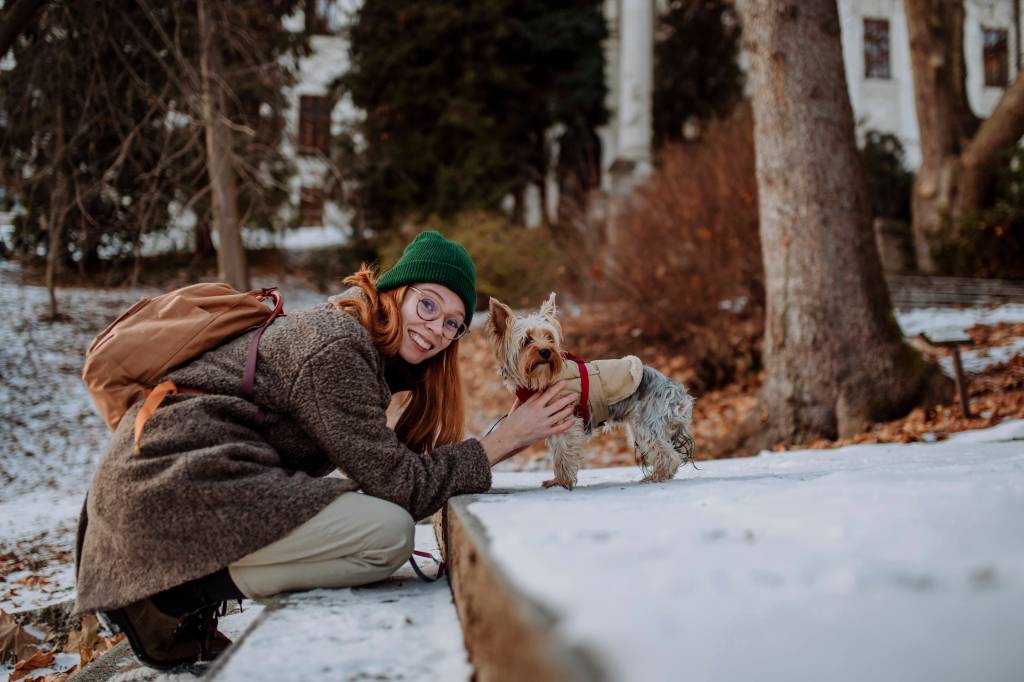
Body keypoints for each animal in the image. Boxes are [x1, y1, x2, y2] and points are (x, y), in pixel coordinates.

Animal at [485, 292, 696, 489]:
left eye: (549, 338)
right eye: (526, 340)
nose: (546, 351)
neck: (541, 380)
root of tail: (678, 391)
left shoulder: (567, 420)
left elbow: (563, 454)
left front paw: (561, 481)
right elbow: (559, 452)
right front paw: (559, 480)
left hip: (646, 422)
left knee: (668, 456)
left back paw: (656, 476)